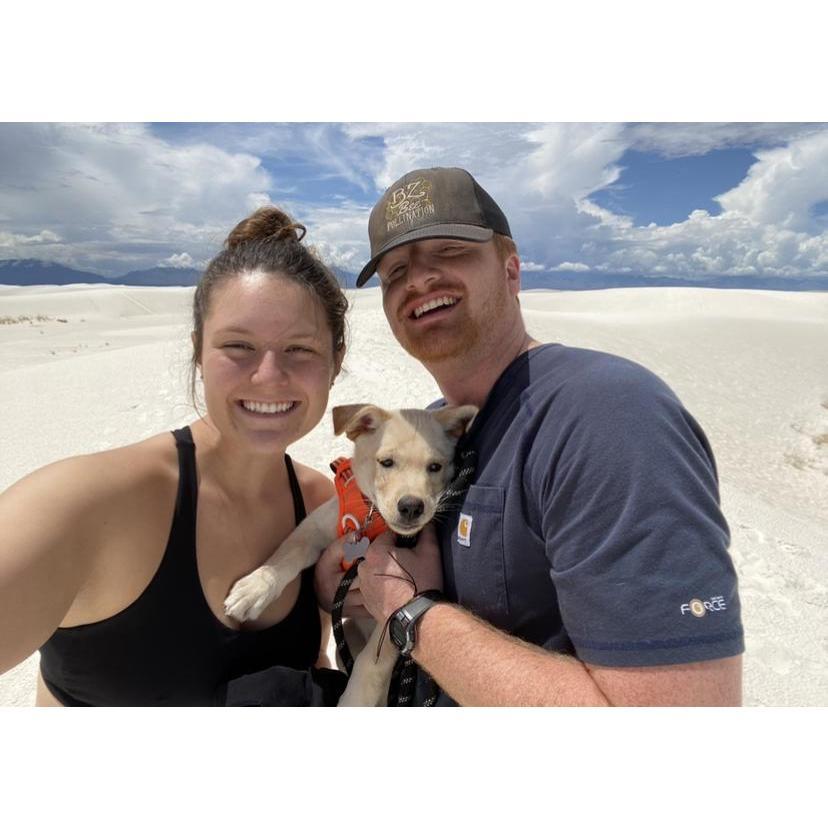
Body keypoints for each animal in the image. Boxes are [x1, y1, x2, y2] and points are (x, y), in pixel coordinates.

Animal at [223, 402, 476, 704]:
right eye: (386, 462)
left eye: (435, 467)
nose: (412, 507)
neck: (372, 516)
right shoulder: (314, 528)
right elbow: (287, 554)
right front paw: (254, 589)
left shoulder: (389, 609)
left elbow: (371, 664)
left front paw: (353, 702)